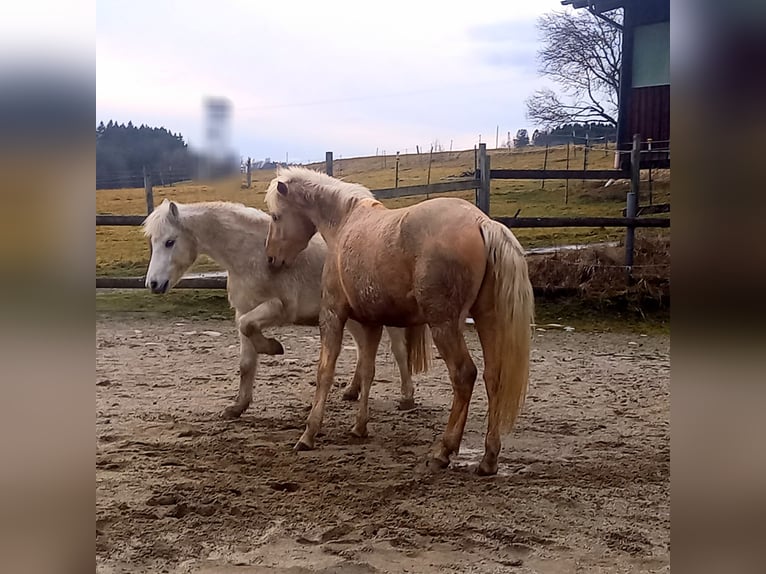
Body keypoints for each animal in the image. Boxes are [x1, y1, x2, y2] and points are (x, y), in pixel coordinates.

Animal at [142, 199, 430, 419]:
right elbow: (246, 359)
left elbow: (249, 328)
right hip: (353, 318)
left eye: (170, 242)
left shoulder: (277, 308)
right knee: (362, 350)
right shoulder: (244, 310)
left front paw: (272, 347)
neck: (253, 254)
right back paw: (351, 391)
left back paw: (406, 398)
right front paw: (238, 406)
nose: (153, 284)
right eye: (153, 242)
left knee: (399, 351)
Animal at [264, 167, 534, 476]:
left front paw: (308, 435)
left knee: (464, 375)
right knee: (493, 377)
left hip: (444, 325)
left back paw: (443, 451)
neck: (344, 222)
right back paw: (488, 459)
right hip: (486, 319)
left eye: (275, 216)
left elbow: (325, 373)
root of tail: (483, 222)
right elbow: (367, 372)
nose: (271, 258)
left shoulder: (332, 315)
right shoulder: (371, 323)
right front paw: (359, 428)